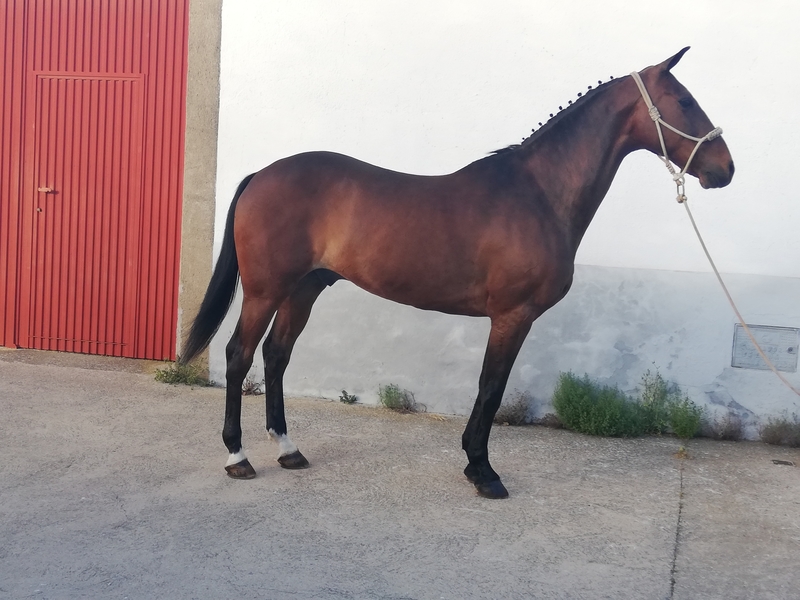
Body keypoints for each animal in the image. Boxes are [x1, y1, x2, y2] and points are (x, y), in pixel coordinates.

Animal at [181, 47, 734, 499]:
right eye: (684, 100)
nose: (724, 169)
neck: (538, 193)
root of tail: (261, 174)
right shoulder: (512, 316)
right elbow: (490, 389)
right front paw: (482, 471)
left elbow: (490, 389)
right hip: (266, 290)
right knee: (239, 355)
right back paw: (237, 456)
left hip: (304, 289)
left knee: (276, 356)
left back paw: (288, 450)